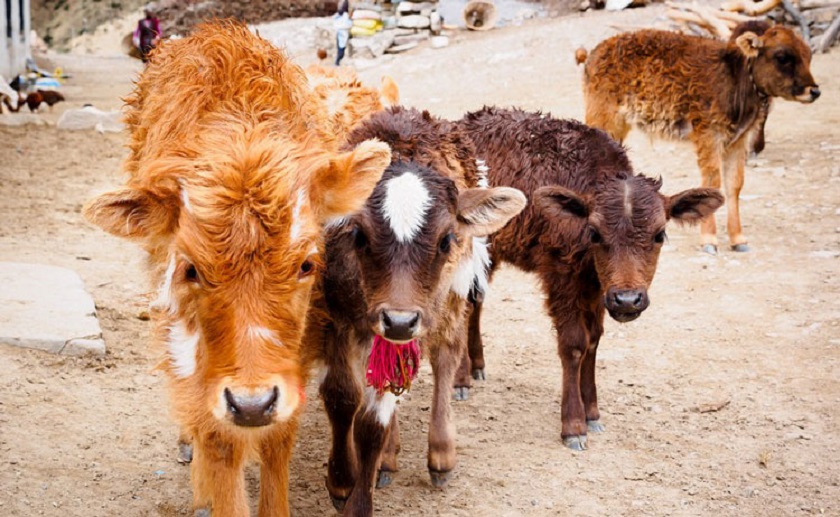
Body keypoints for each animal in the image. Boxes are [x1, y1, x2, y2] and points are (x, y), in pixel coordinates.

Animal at [82, 21, 390, 516]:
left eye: (307, 263)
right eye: (190, 269)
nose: (251, 404)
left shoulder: (298, 344)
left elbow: (280, 435)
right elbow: (217, 439)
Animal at [302, 107, 524, 512]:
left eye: (447, 239)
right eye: (358, 235)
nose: (399, 321)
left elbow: (372, 423)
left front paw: (360, 500)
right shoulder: (334, 315)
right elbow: (342, 396)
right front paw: (341, 481)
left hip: (451, 297)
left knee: (446, 357)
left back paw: (440, 454)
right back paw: (389, 458)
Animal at [456, 107, 724, 450]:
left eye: (659, 234)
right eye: (595, 232)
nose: (628, 300)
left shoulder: (597, 288)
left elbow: (593, 341)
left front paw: (593, 413)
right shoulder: (561, 278)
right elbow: (574, 344)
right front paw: (573, 425)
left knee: (476, 299)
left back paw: (477, 364)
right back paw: (461, 378)